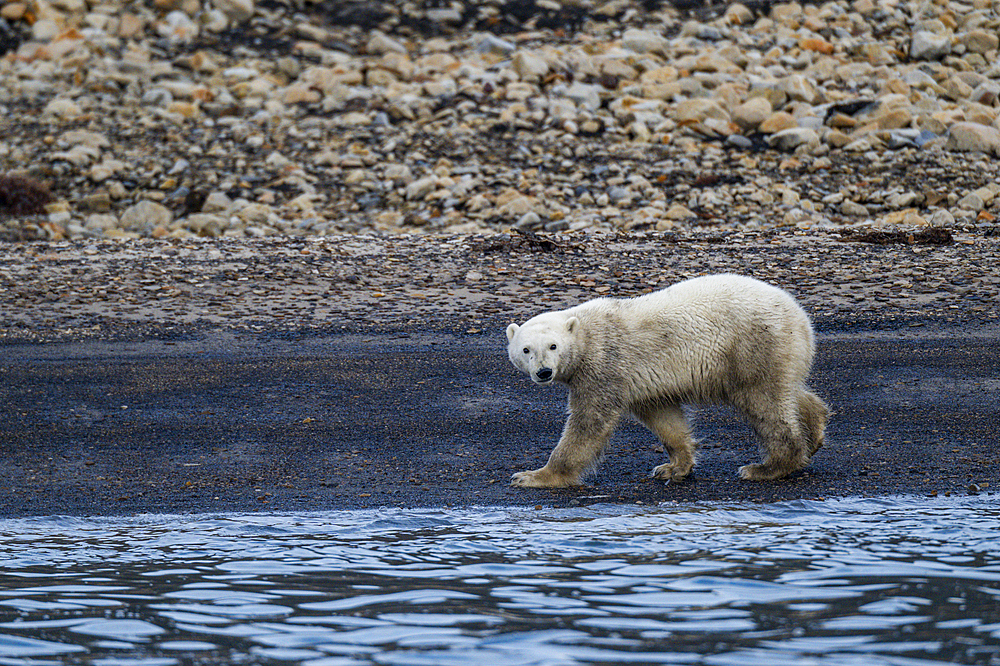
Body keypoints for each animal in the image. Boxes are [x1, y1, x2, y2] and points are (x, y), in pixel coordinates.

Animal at [508, 272, 828, 486]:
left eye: (553, 346)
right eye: (526, 349)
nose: (544, 372)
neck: (586, 333)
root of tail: (799, 314)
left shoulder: (604, 365)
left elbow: (588, 423)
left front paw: (532, 476)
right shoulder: (644, 380)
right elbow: (664, 418)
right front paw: (673, 467)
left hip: (753, 344)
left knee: (765, 403)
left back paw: (767, 467)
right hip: (779, 351)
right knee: (789, 390)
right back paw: (815, 430)